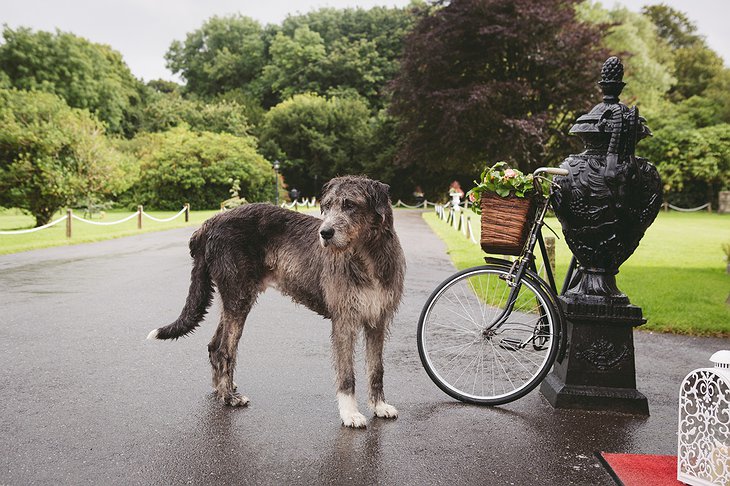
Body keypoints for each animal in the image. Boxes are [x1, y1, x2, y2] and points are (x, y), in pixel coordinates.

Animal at [146, 177, 404, 428]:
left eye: (350, 204)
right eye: (327, 206)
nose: (325, 233)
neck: (366, 256)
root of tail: (208, 224)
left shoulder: (377, 321)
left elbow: (376, 368)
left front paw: (379, 406)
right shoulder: (344, 321)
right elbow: (346, 373)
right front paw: (350, 414)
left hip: (234, 298)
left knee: (213, 345)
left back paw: (221, 389)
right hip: (238, 296)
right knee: (223, 349)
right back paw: (229, 397)